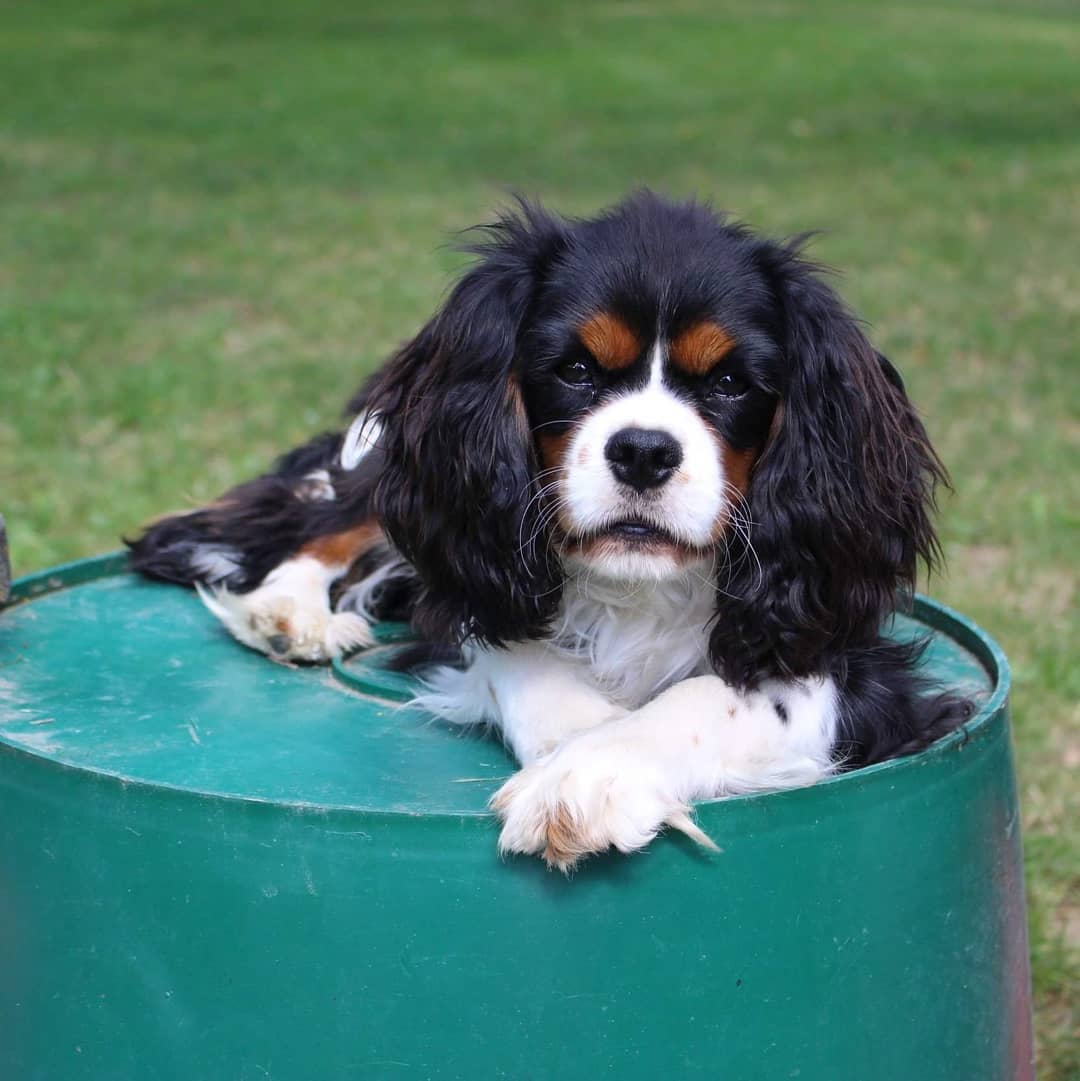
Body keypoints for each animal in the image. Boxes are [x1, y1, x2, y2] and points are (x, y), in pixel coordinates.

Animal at [126, 192, 972, 869]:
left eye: (732, 382)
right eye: (575, 370)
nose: (643, 450)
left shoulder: (839, 648)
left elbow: (714, 698)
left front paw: (588, 772)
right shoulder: (472, 576)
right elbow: (515, 649)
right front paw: (579, 740)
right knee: (335, 516)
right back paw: (288, 608)